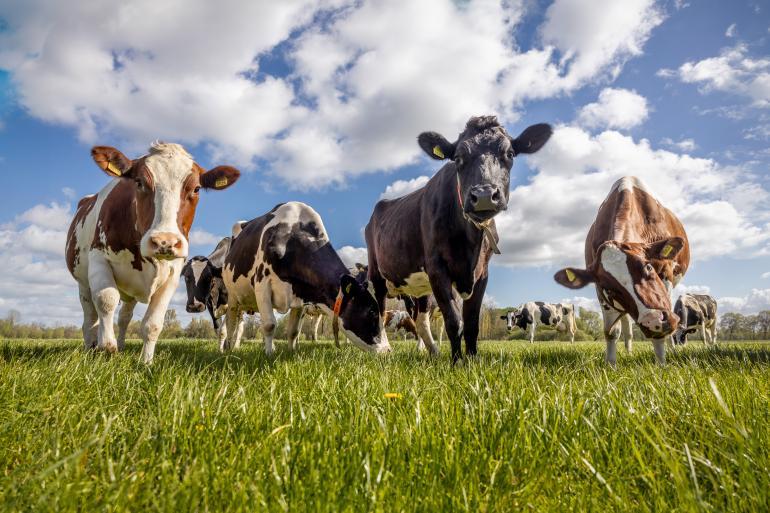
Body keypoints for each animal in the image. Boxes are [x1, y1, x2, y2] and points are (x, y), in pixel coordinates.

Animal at [65, 142, 240, 363]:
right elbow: (106, 300)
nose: (165, 241)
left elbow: (153, 323)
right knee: (90, 317)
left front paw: (145, 362)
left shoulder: (172, 274)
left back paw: (120, 345)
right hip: (83, 281)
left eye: (196, 188)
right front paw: (107, 349)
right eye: (139, 182)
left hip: (130, 290)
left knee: (124, 317)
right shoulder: (99, 258)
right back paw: (92, 347)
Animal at [222, 202, 388, 355]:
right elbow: (269, 325)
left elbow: (294, 331)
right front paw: (269, 354)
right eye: (372, 312)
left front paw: (291, 352)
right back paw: (228, 349)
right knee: (231, 321)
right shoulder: (262, 284)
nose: (388, 350)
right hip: (232, 296)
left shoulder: (301, 294)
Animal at [366, 116, 552, 362]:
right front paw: (456, 362)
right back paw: (383, 348)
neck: (470, 244)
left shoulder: (482, 272)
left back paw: (433, 352)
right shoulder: (436, 268)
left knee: (420, 320)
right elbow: (454, 321)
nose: (484, 195)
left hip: (419, 287)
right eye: (457, 158)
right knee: (379, 310)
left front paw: (472, 360)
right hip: (376, 272)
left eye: (510, 153)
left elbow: (472, 322)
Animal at [554, 176, 690, 366]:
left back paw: (671, 349)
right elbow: (611, 332)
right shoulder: (601, 291)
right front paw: (611, 365)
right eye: (610, 289)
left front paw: (661, 364)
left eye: (648, 267)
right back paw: (629, 351)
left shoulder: (666, 274)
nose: (653, 320)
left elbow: (660, 335)